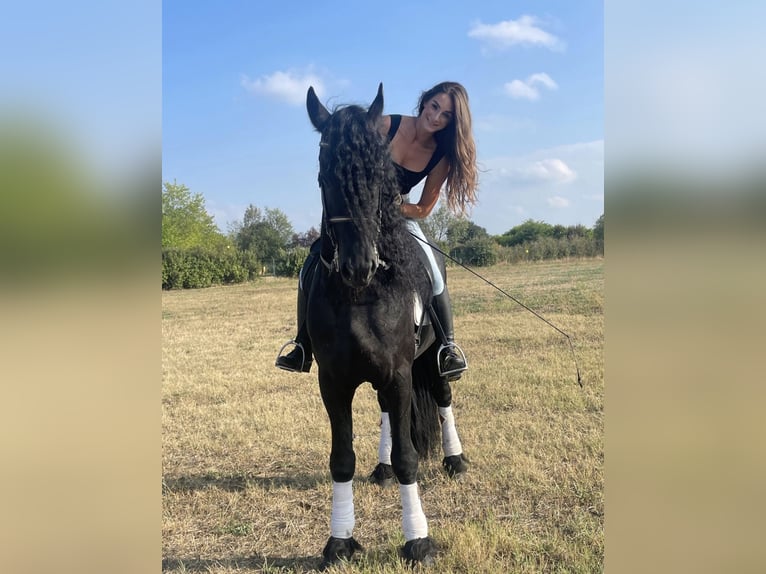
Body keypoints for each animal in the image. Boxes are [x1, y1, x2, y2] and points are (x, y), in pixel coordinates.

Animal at [304, 83, 449, 568]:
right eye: (324, 177)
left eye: (378, 178)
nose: (359, 266)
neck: (362, 296)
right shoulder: (334, 381)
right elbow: (341, 459)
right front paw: (339, 541)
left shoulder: (401, 373)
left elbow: (409, 457)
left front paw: (417, 541)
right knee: (387, 413)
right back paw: (381, 469)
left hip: (434, 359)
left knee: (444, 394)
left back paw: (457, 461)